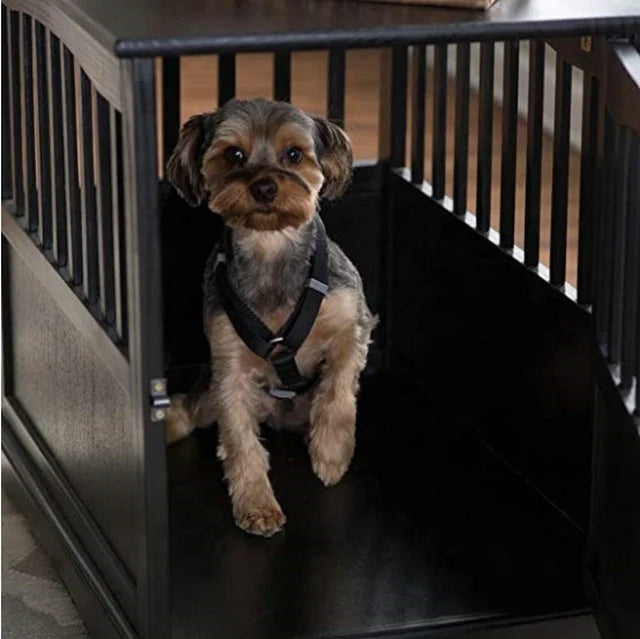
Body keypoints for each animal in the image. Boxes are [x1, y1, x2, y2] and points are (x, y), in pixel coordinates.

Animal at [164, 99, 376, 540]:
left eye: (293, 154)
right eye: (234, 154)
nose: (264, 188)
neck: (271, 246)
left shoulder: (354, 322)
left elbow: (338, 389)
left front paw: (331, 453)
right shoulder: (229, 370)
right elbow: (240, 442)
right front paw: (257, 507)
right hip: (210, 396)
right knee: (190, 409)